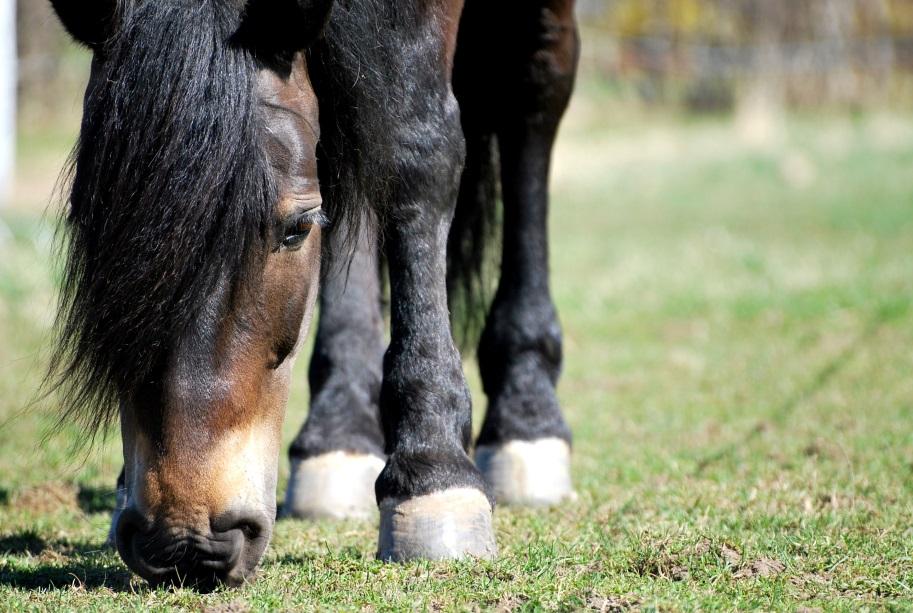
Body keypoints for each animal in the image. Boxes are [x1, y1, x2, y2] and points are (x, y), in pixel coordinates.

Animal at [48, 0, 576, 588]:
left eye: (296, 229)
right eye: (89, 225)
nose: (185, 541)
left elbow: (416, 148)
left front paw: (433, 472)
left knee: (535, 89)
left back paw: (526, 414)